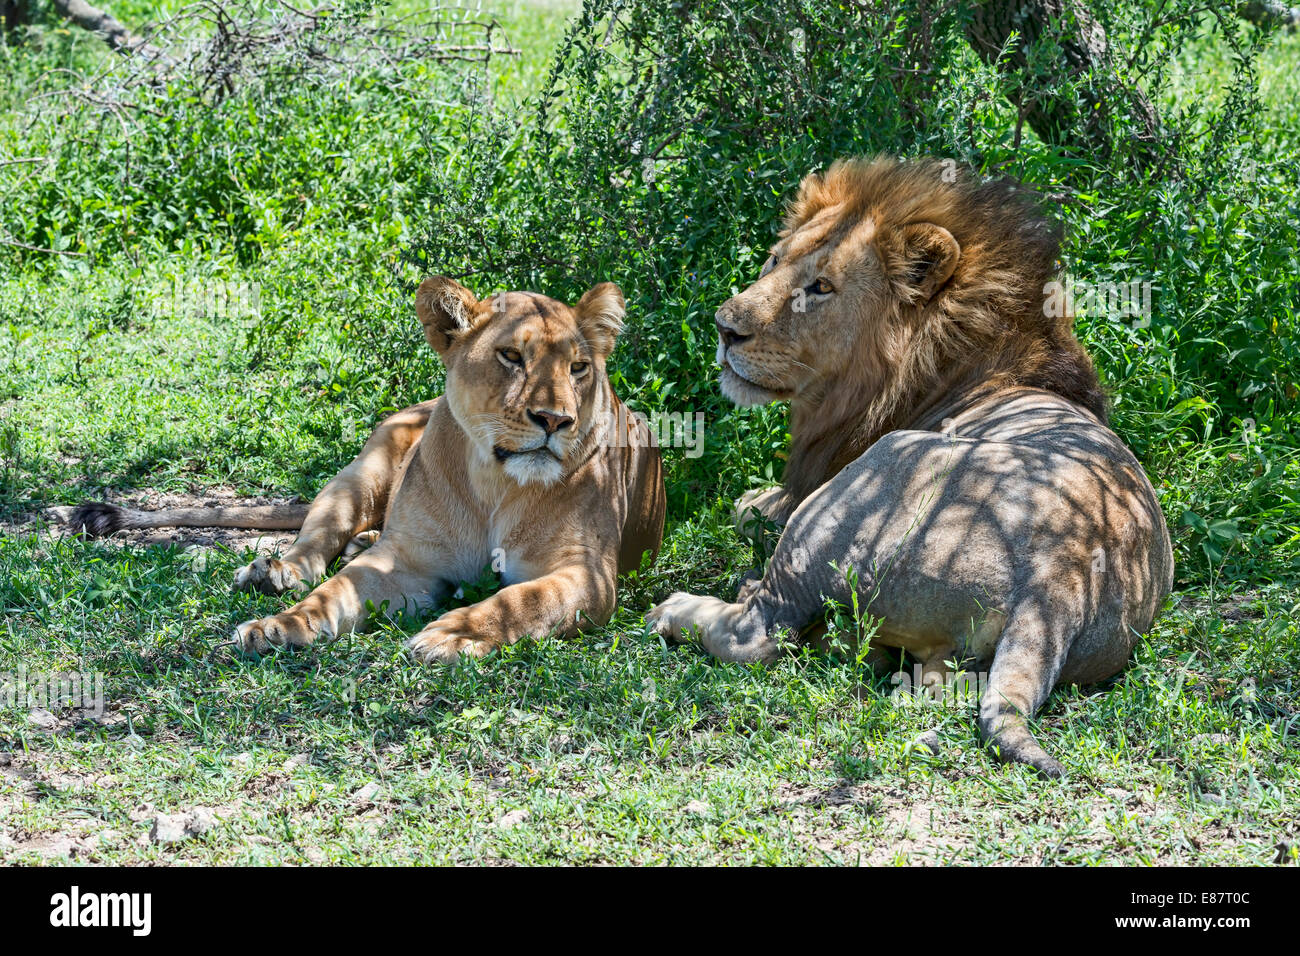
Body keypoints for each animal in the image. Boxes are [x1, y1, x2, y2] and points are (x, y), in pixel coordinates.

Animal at [65, 280, 665, 660]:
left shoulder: (588, 575)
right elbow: (334, 592)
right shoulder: (406, 562)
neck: (495, 483)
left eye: (579, 367)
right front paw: (281, 626)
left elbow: (521, 600)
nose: (556, 419)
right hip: (358, 477)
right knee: (314, 544)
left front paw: (454, 635)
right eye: (512, 358)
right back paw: (275, 573)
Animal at [655, 157, 1175, 780]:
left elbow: (744, 511)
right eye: (774, 261)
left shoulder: (812, 484)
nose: (724, 328)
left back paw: (682, 608)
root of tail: (1059, 583)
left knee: (759, 633)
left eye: (821, 287)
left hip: (867, 481)